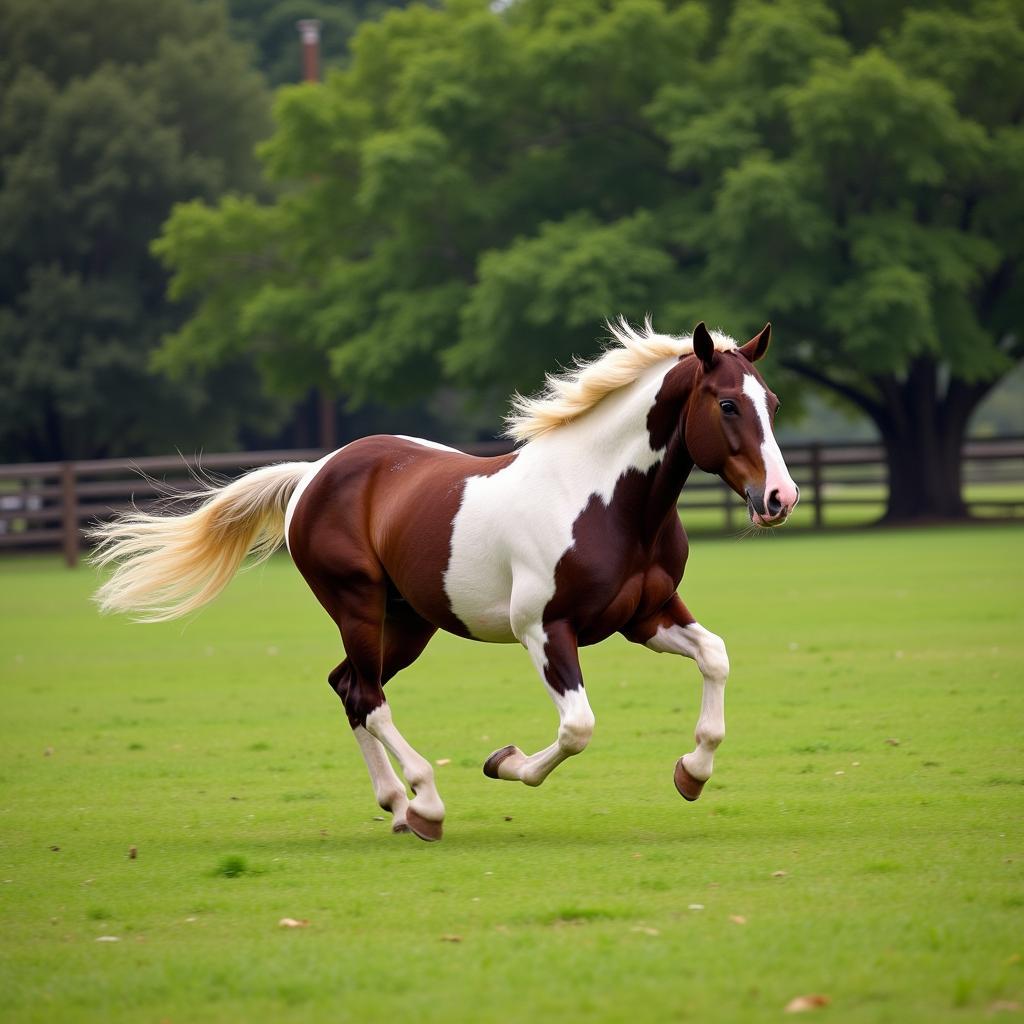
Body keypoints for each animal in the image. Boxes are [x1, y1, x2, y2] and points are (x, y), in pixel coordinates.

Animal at [94, 317, 798, 839]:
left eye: (772, 403)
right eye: (727, 404)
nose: (780, 498)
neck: (603, 499)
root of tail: (313, 473)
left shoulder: (644, 616)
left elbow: (715, 656)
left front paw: (692, 773)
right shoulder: (545, 630)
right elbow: (577, 727)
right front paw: (503, 763)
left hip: (406, 623)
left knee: (348, 687)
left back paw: (397, 807)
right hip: (358, 607)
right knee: (368, 696)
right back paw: (425, 804)